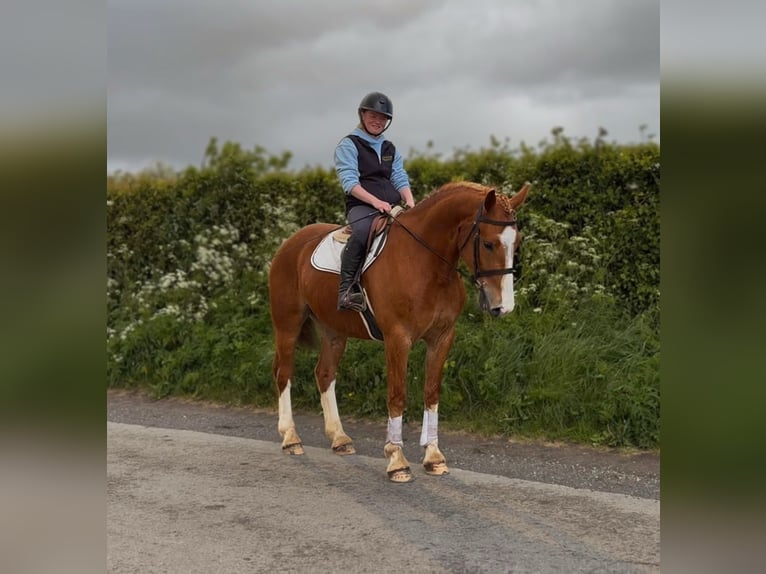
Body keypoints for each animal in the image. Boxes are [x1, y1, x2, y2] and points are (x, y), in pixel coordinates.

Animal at [268, 180, 530, 482]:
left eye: (517, 242)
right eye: (488, 243)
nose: (503, 307)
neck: (425, 262)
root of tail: (290, 243)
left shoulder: (442, 338)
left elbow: (431, 392)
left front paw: (434, 457)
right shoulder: (397, 339)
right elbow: (397, 394)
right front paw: (397, 460)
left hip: (334, 330)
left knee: (324, 373)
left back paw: (340, 438)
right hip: (287, 324)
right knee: (284, 374)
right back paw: (291, 438)